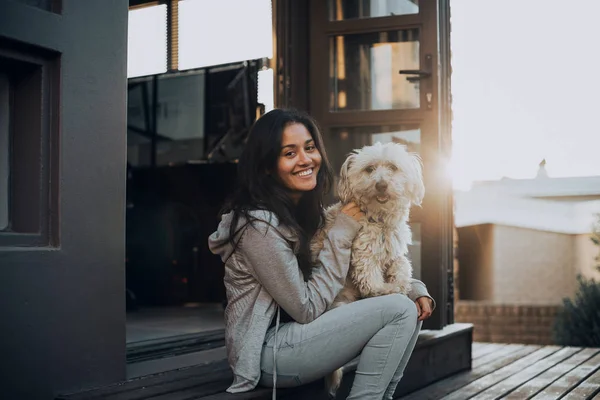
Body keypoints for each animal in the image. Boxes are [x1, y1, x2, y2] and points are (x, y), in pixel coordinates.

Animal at [312, 141, 424, 396]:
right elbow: (373, 285)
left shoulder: (394, 251)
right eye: (370, 169)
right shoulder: (364, 257)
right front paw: (393, 289)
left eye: (392, 167)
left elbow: (402, 265)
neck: (380, 221)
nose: (381, 184)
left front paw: (403, 281)